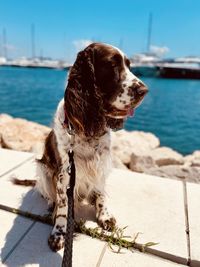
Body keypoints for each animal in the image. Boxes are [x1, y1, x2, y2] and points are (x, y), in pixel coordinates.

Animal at [13, 43, 147, 252]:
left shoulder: (100, 165)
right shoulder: (64, 173)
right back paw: (51, 204)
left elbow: (100, 194)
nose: (144, 90)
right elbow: (62, 207)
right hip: (43, 168)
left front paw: (104, 216)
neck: (87, 128)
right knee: (47, 193)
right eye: (112, 65)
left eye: (129, 65)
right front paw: (59, 233)